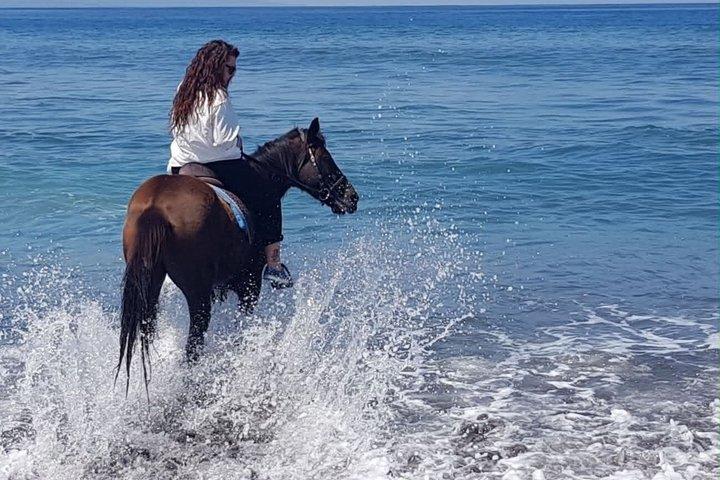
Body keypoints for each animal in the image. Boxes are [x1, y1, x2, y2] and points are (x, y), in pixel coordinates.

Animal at [117, 118, 358, 390]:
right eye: (326, 157)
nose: (352, 197)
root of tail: (155, 208)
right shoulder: (248, 284)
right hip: (198, 293)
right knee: (193, 344)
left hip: (152, 284)